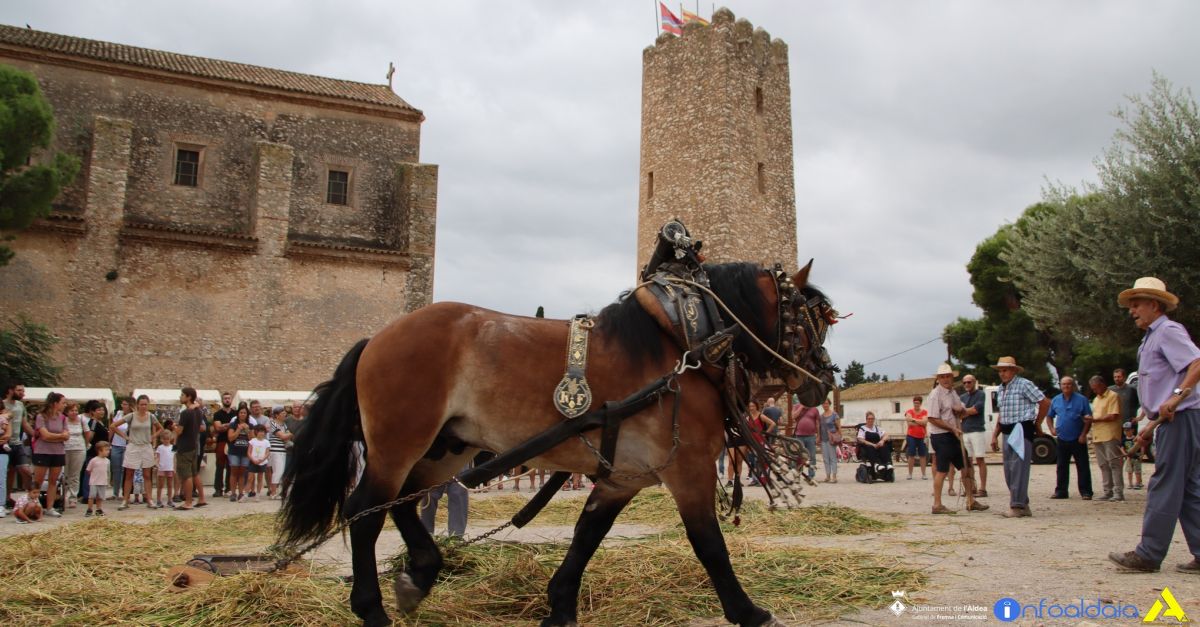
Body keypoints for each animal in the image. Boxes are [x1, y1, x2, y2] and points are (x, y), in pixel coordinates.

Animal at [279, 258, 835, 624]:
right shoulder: (689, 469)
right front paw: (747, 610)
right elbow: (710, 546)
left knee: (402, 502)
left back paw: (422, 573)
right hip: (398, 444)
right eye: (812, 324)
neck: (687, 346)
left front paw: (560, 603)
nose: (825, 381)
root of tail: (378, 338)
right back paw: (372, 608)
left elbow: (587, 535)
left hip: (446, 449)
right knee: (365, 512)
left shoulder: (623, 476)